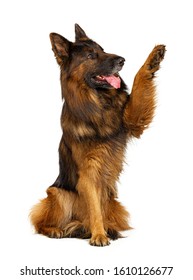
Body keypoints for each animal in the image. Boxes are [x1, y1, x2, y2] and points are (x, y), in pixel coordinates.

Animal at [29, 24, 164, 247]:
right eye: (91, 55)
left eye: (103, 50)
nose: (122, 60)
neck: (99, 102)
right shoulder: (88, 171)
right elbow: (94, 208)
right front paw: (99, 235)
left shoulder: (133, 118)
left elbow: (139, 81)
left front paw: (152, 60)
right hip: (58, 194)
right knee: (40, 222)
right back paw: (56, 230)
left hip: (114, 203)